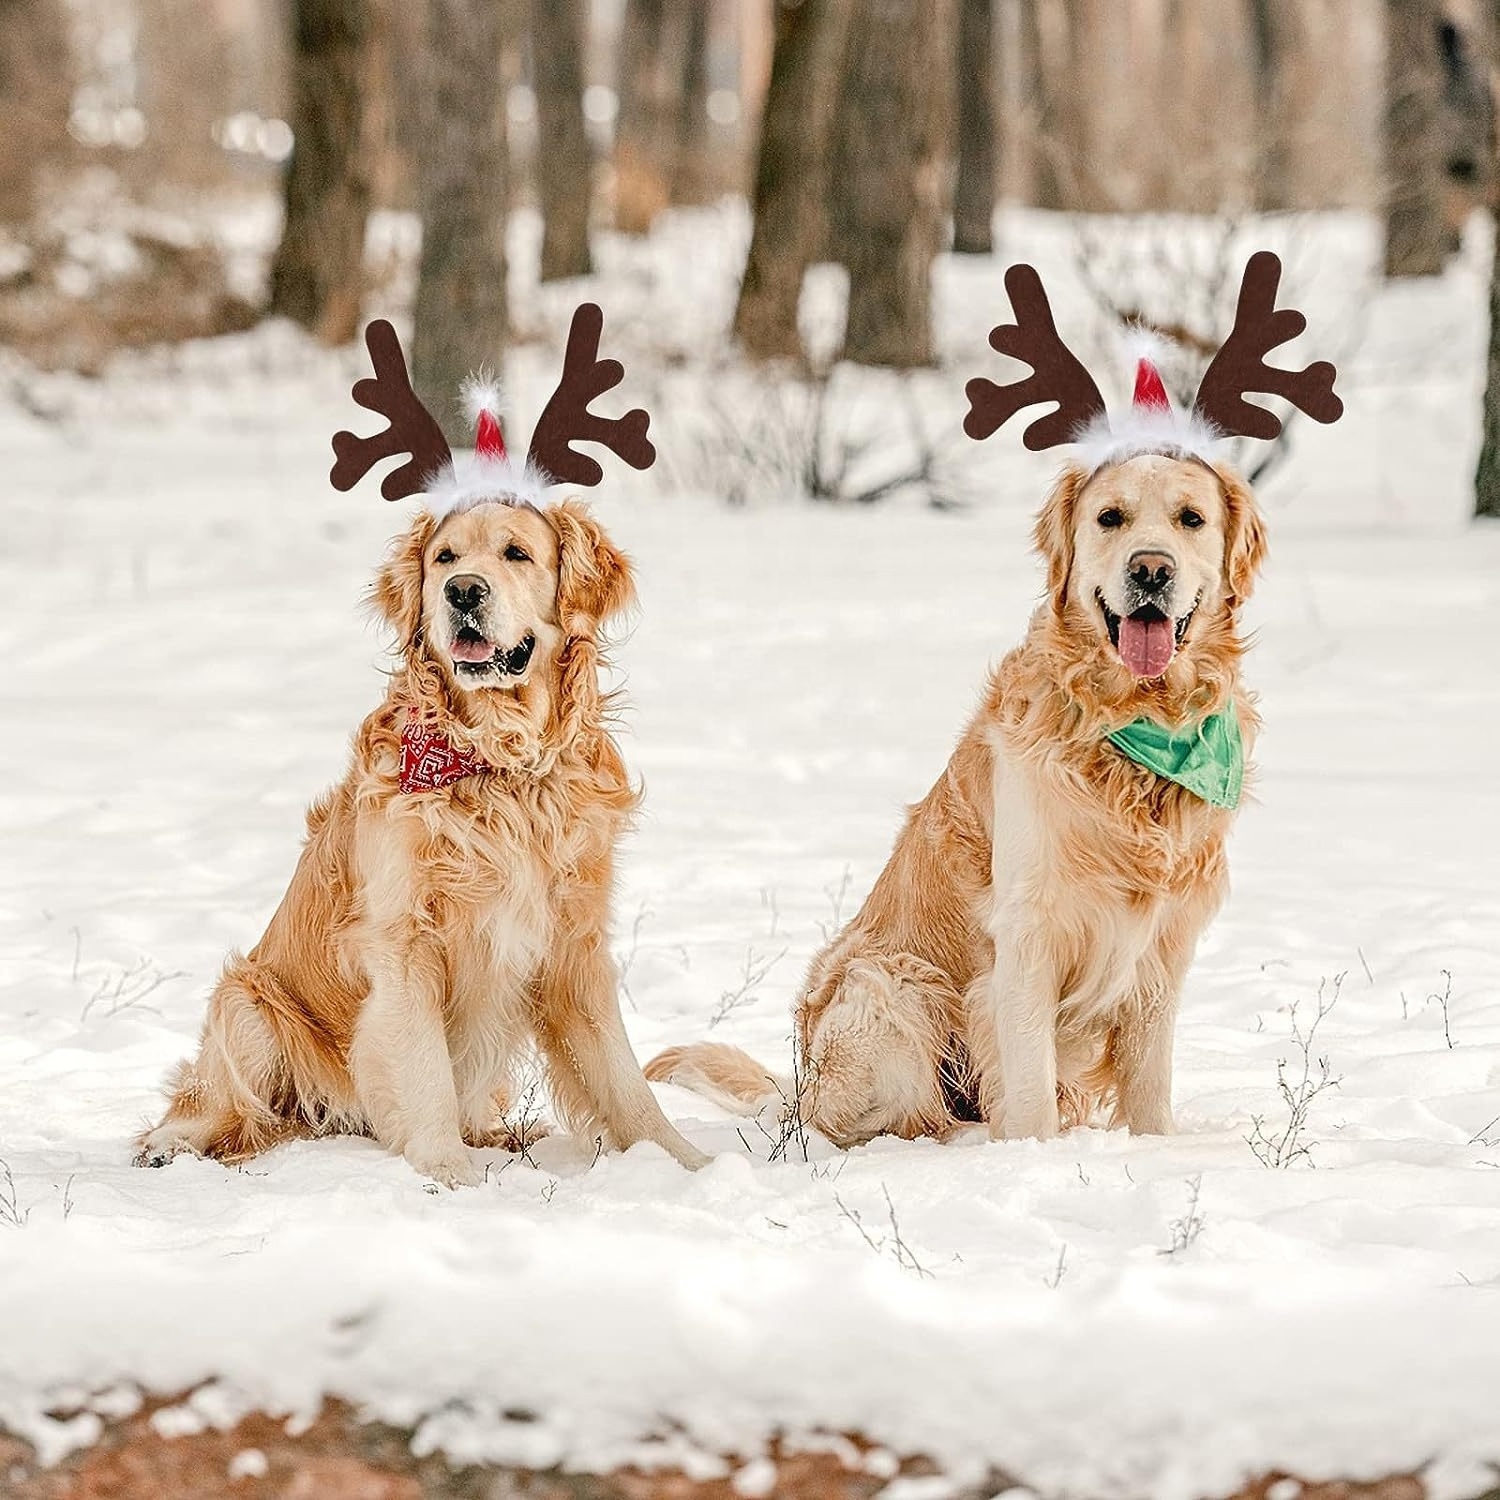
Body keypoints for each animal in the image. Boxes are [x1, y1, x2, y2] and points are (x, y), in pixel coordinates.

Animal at [136, 501, 708, 1182]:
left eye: (517, 553)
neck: (498, 764)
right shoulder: (402, 942)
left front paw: (689, 1162)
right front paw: (448, 1171)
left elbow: (624, 1080)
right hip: (247, 1007)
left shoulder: (574, 944)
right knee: (212, 1109)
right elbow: (425, 1067)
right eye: (445, 557)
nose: (462, 591)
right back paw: (168, 1146)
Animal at [648, 450, 1266, 1140]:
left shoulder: (1162, 946)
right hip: (890, 984)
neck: (1134, 726)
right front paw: (1034, 1152)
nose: (1151, 570)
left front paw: (1154, 1146)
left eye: (1192, 519)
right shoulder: (1026, 937)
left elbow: (1149, 1090)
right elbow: (1030, 1091)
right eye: (1111, 517)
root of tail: (801, 1089)